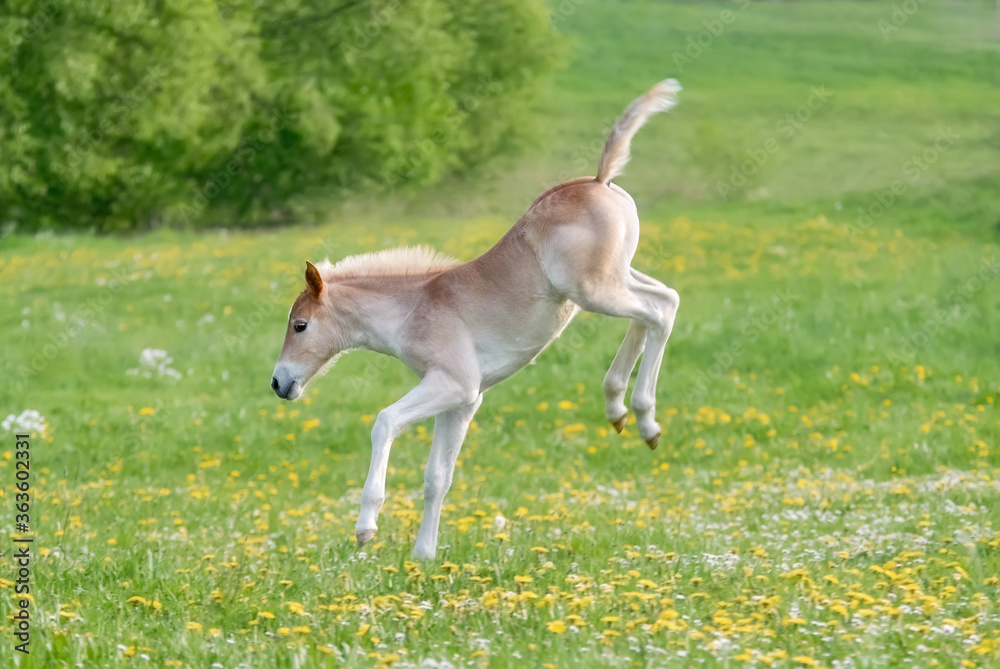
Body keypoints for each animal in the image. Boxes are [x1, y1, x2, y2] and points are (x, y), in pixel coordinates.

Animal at [270, 79, 684, 560]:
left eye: (300, 325)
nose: (278, 382)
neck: (414, 307)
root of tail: (599, 179)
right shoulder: (462, 401)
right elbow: (437, 477)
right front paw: (423, 557)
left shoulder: (454, 384)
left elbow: (385, 422)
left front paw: (366, 527)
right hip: (615, 278)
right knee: (662, 301)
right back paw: (619, 408)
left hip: (595, 289)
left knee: (659, 309)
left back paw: (645, 418)